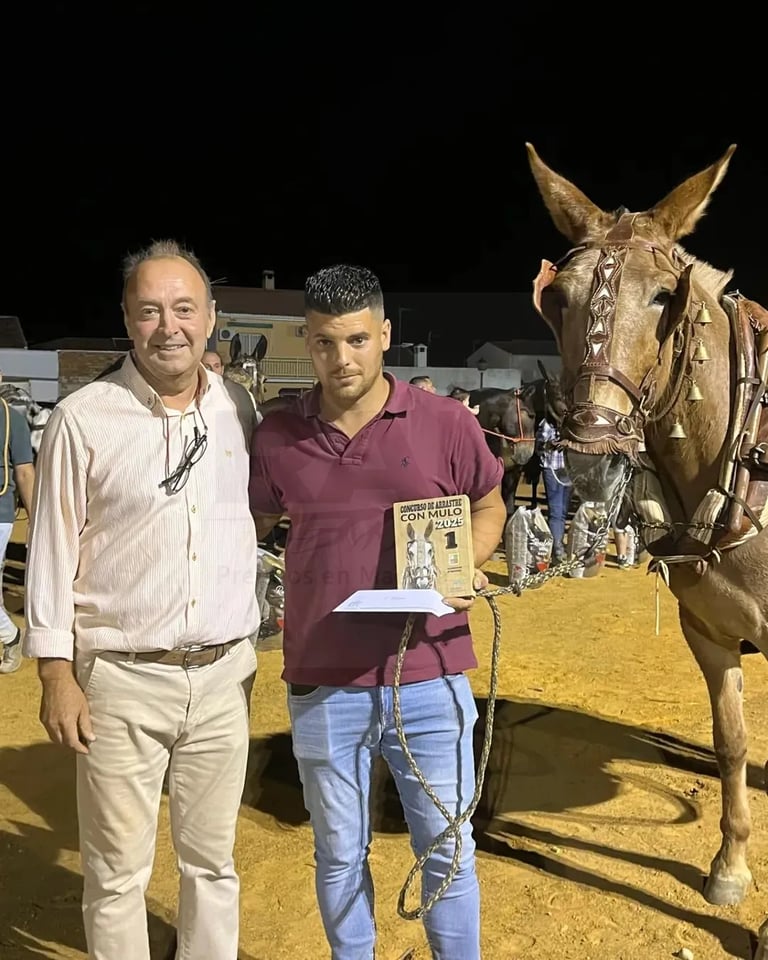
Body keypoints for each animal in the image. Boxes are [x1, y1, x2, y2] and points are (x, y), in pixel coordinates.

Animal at [526, 141, 768, 955]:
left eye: (665, 296)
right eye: (558, 299)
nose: (590, 460)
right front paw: (729, 866)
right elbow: (731, 740)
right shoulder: (709, 630)